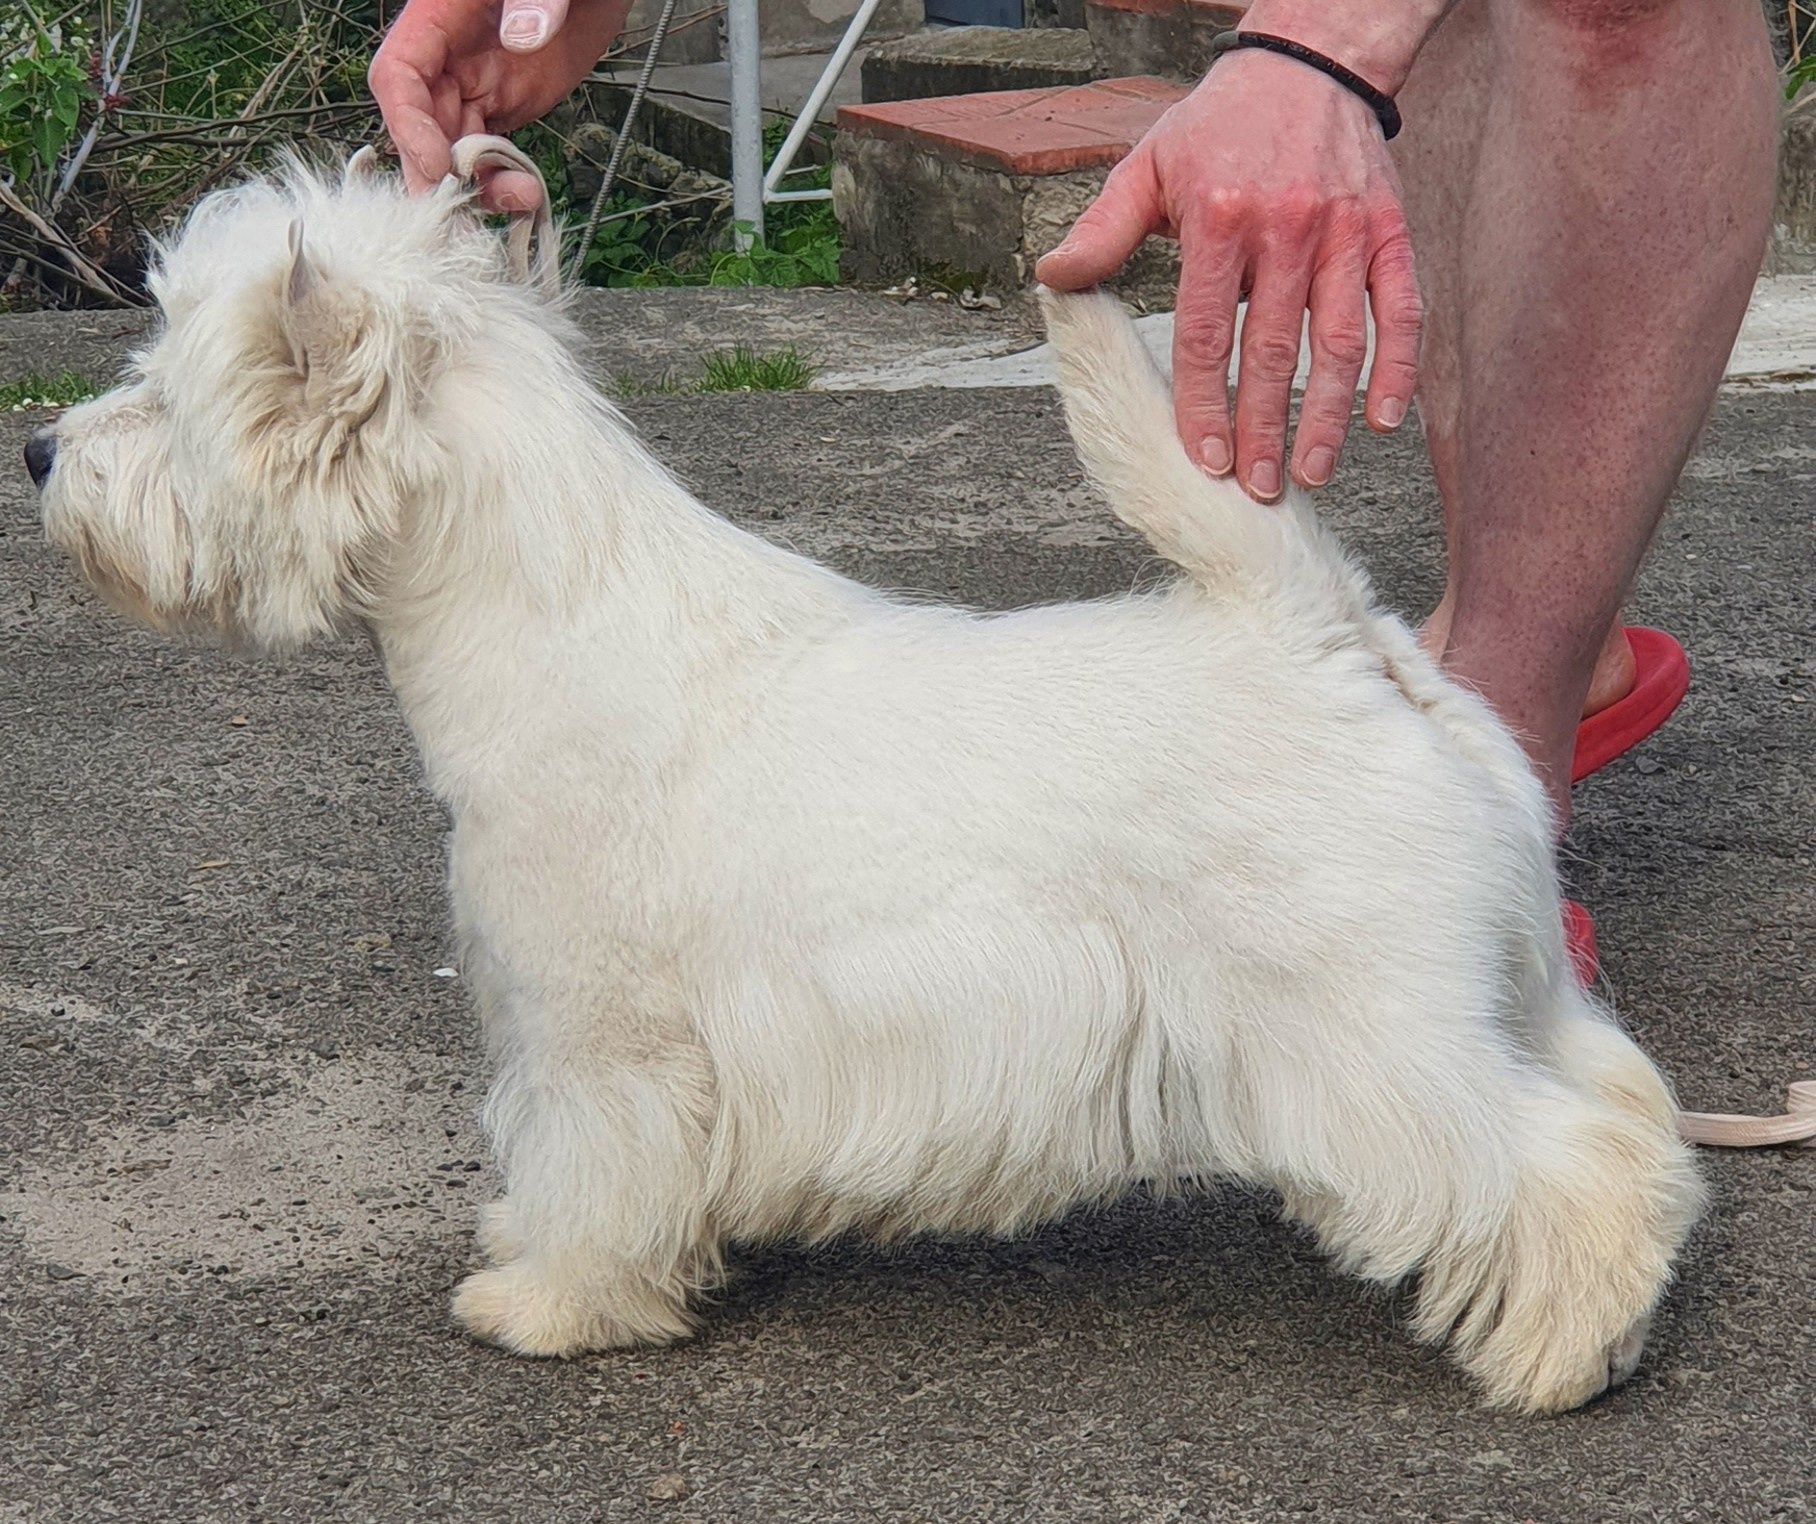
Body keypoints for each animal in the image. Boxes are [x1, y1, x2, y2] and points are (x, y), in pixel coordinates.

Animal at [32, 146, 1699, 1416]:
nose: (42, 448)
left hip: (1363, 1039)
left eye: (166, 399)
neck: (553, 627)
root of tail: (1330, 636)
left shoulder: (599, 1040)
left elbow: (592, 1175)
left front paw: (547, 1301)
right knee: (1627, 1113)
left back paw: (1557, 1354)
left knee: (1548, 1169)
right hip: (1505, 987)